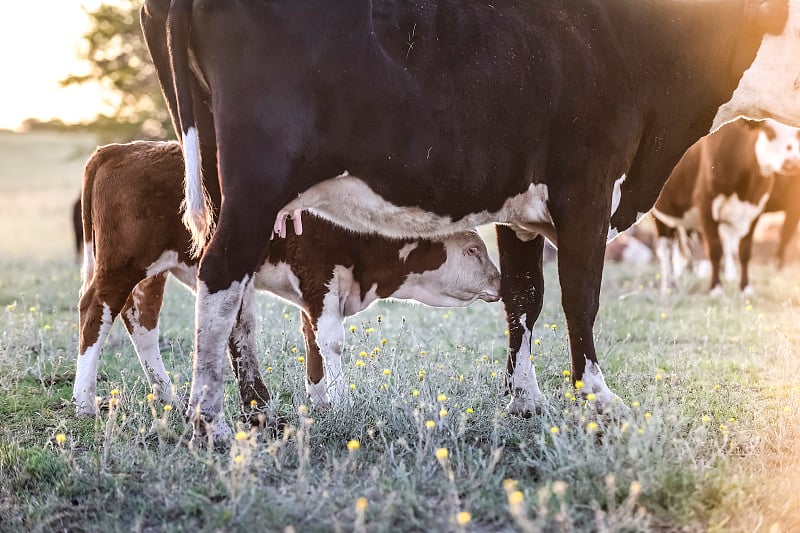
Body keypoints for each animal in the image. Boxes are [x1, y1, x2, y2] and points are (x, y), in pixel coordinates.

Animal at [75, 141, 500, 416]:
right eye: (473, 250)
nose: (499, 281)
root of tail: (116, 150)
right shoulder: (319, 277)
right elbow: (331, 341)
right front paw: (342, 401)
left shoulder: (318, 292)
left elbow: (313, 341)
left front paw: (321, 400)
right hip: (124, 263)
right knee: (96, 311)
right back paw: (84, 402)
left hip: (153, 271)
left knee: (141, 322)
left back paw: (168, 398)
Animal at [652, 118, 796, 296]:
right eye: (769, 131)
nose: (793, 162)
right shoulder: (706, 206)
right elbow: (715, 249)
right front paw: (716, 288)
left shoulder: (756, 210)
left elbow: (745, 251)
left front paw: (745, 288)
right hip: (659, 215)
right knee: (665, 249)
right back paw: (669, 287)